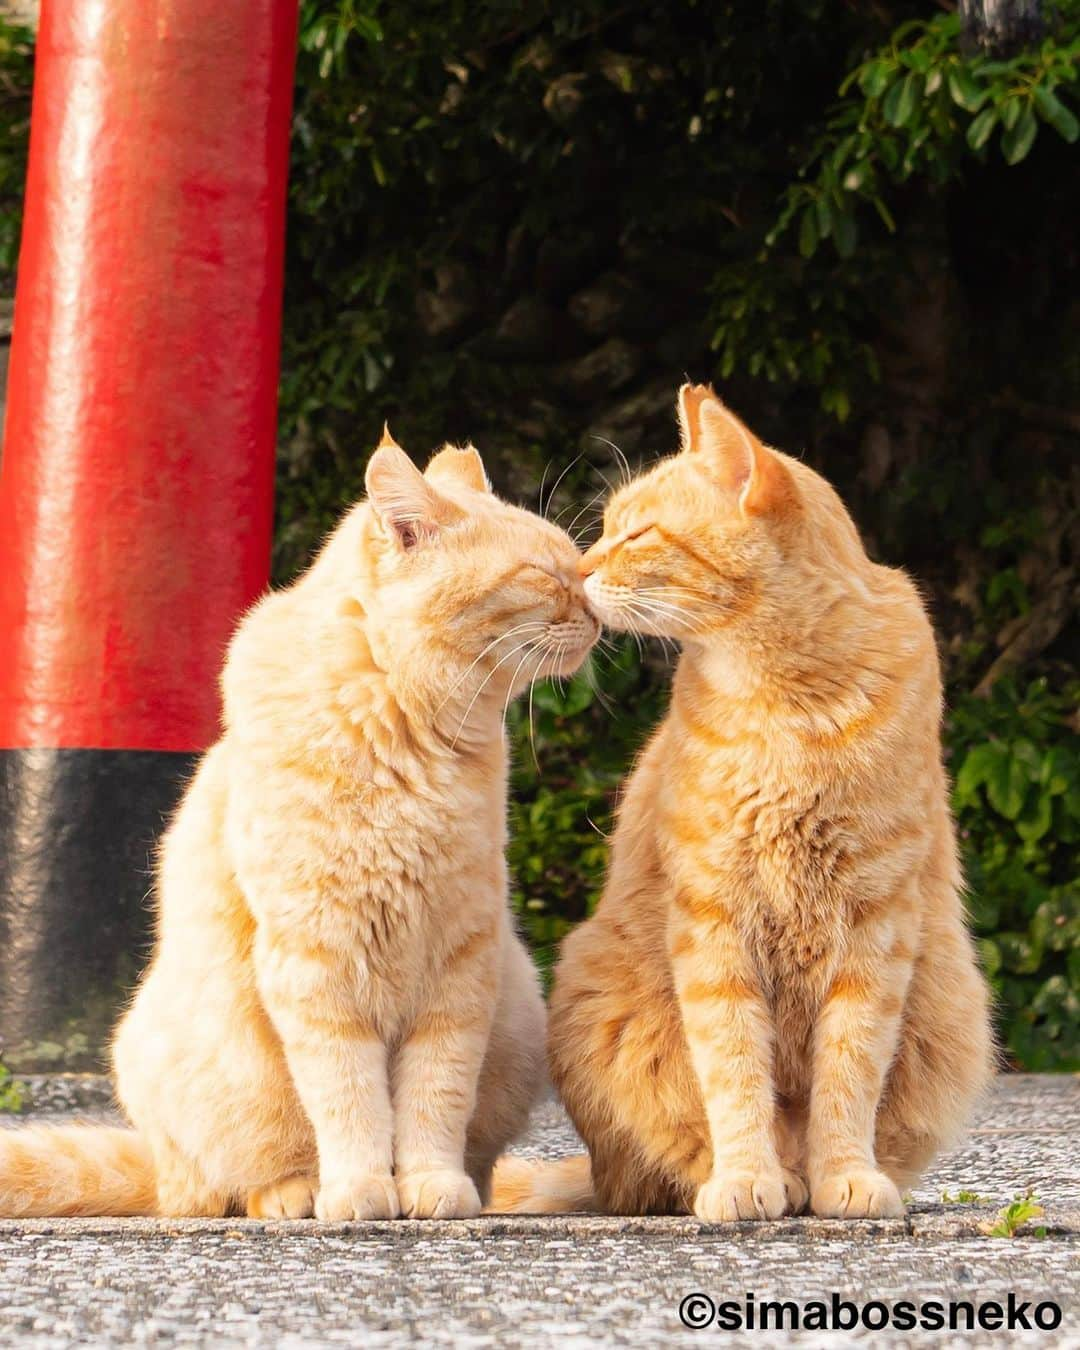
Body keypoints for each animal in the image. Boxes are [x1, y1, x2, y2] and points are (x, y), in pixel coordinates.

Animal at [0, 432, 594, 1225]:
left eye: (579, 567)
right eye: (542, 575)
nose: (595, 607)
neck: (407, 730)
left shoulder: (458, 967)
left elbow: (435, 1099)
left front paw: (431, 1185)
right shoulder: (319, 965)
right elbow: (349, 1099)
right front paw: (361, 1190)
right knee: (223, 1185)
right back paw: (294, 1194)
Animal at [496, 383, 993, 1225]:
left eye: (639, 532)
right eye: (606, 527)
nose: (577, 569)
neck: (790, 706)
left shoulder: (876, 929)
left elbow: (849, 1074)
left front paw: (845, 1176)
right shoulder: (714, 920)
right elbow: (732, 1068)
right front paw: (745, 1178)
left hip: (952, 1003)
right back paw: (768, 1180)